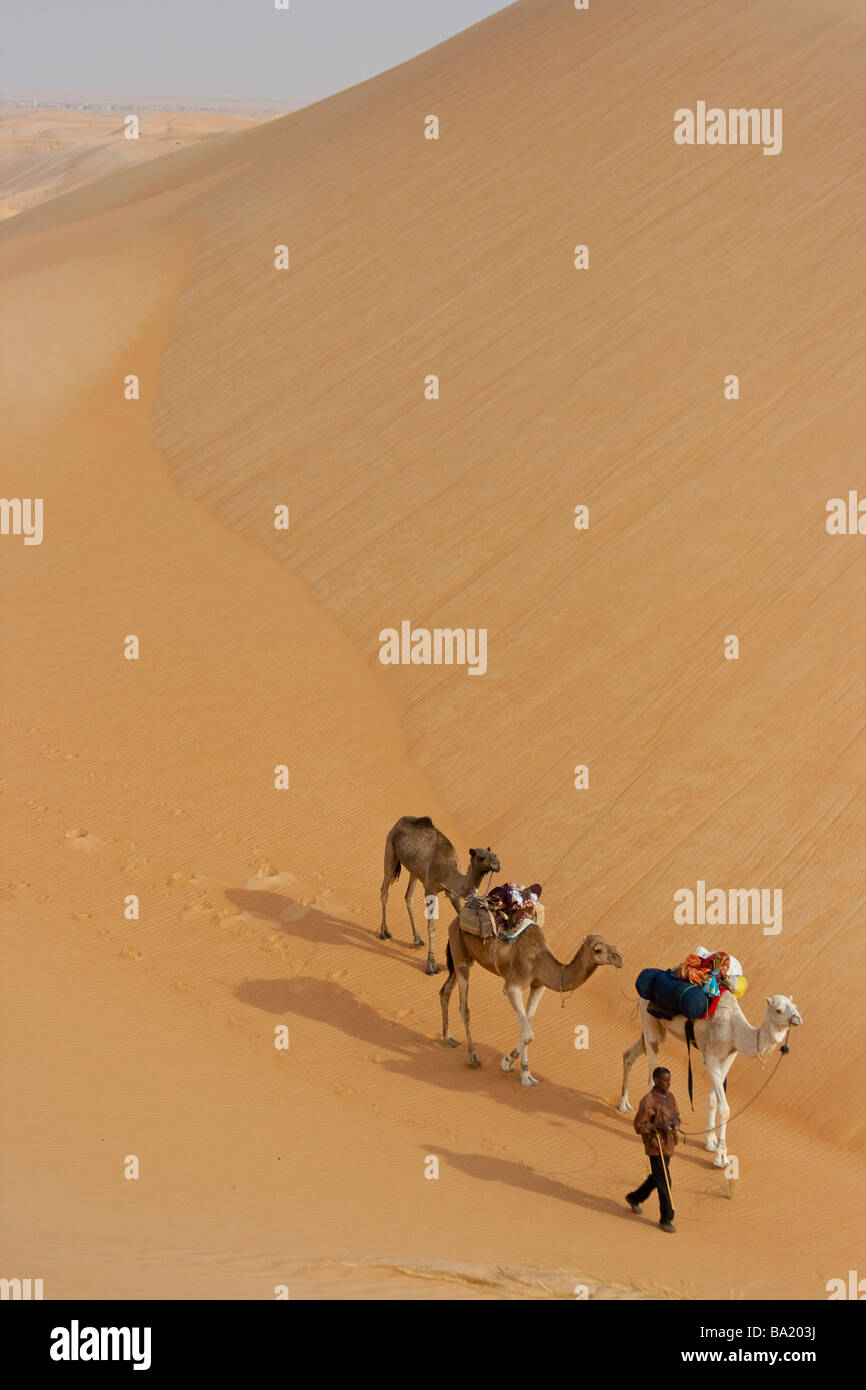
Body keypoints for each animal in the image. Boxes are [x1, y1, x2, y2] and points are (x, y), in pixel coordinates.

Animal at [378, 811, 500, 978]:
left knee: (408, 896)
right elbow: (432, 927)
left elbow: (462, 918)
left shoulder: (452, 893)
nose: (497, 864)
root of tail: (399, 822)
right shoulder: (430, 889)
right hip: (390, 848)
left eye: (493, 853)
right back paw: (384, 932)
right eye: (481, 857)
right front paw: (431, 966)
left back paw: (417, 939)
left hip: (415, 871)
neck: (449, 872)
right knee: (385, 890)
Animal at [439, 917, 622, 1089]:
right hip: (460, 955)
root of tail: (455, 921)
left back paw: (449, 1038)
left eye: (608, 941)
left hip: (463, 955)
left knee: (445, 991)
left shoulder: (538, 986)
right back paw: (473, 1057)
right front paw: (506, 1063)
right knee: (464, 1007)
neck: (539, 961)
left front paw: (526, 1075)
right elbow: (528, 1034)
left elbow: (526, 1027)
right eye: (598, 949)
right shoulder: (512, 987)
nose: (619, 958)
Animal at [619, 989, 800, 1162]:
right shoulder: (711, 1058)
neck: (734, 1029)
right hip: (649, 1018)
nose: (798, 1018)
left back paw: (624, 1105)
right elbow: (724, 1108)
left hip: (660, 1027)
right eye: (778, 1010)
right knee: (652, 1068)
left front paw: (710, 1143)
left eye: (794, 1006)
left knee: (630, 1055)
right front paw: (721, 1156)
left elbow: (713, 1099)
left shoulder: (729, 1057)